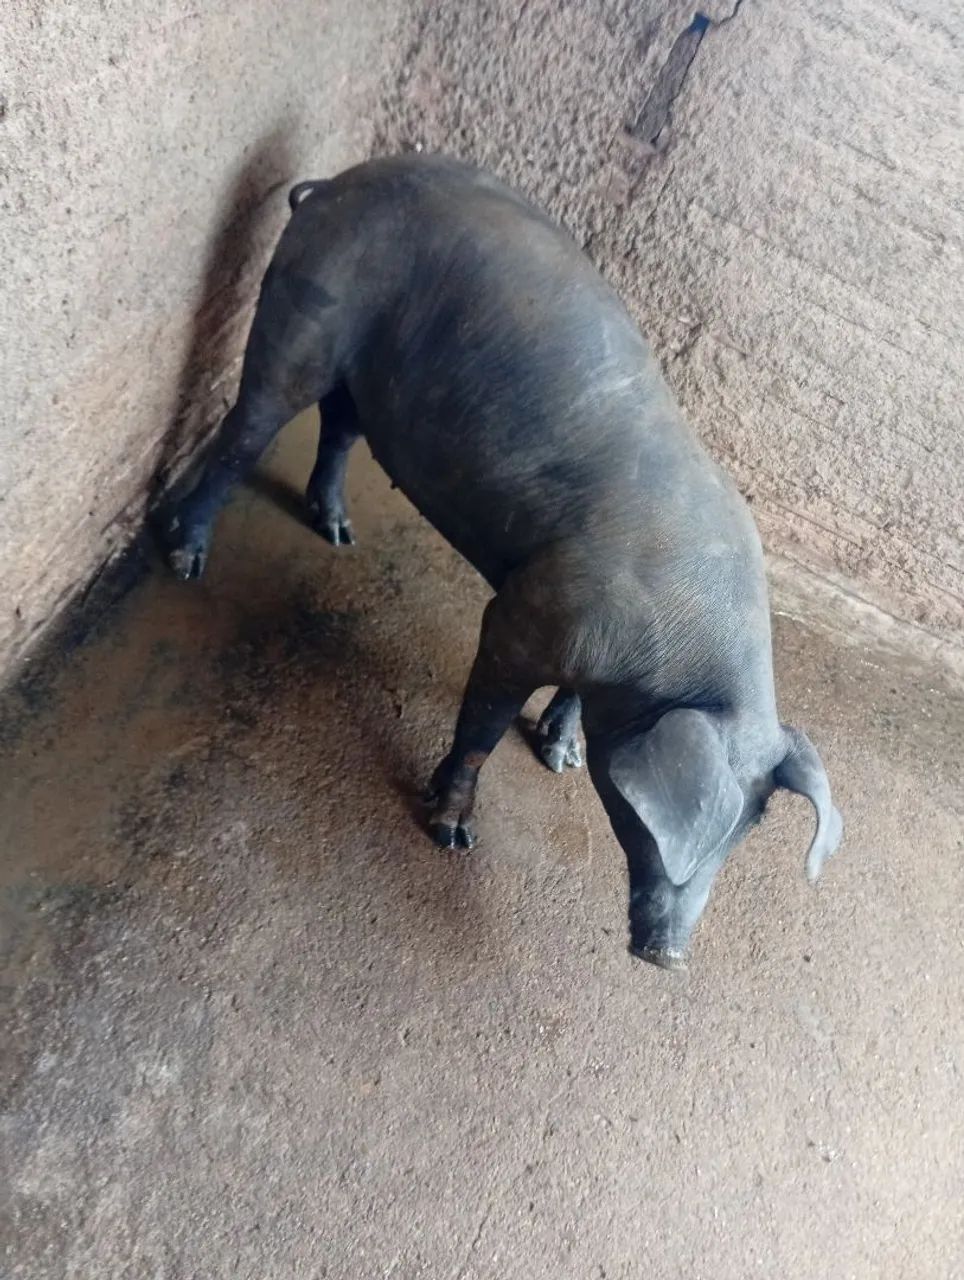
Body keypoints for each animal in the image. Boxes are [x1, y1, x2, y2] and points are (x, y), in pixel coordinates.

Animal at [160, 154, 842, 970]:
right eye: (680, 827)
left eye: (749, 829)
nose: (670, 955)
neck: (664, 669)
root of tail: (338, 183)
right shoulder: (520, 621)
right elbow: (481, 728)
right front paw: (452, 834)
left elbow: (565, 703)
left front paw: (561, 758)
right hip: (308, 304)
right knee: (245, 431)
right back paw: (185, 561)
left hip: (372, 372)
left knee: (342, 426)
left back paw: (336, 531)